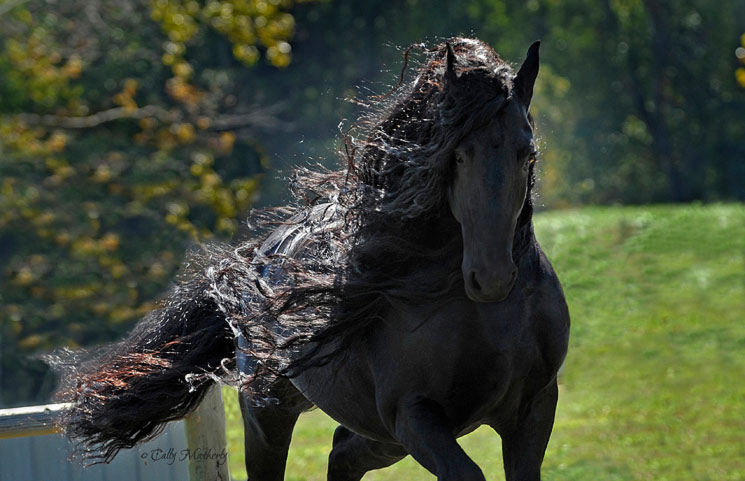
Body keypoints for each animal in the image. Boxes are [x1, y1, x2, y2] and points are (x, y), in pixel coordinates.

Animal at [52, 37, 568, 480]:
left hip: (378, 435)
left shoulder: (533, 408)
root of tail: (255, 260)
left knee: (342, 454)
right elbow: (465, 472)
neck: (483, 318)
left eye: (526, 153)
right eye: (458, 156)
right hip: (273, 414)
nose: (491, 277)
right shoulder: (414, 414)